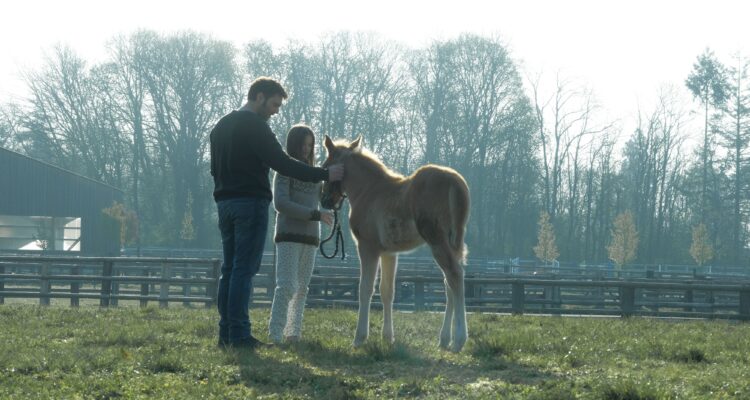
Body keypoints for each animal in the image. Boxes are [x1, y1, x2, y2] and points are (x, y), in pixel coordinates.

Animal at [322, 136, 470, 352]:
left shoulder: (367, 247)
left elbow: (365, 289)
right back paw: (444, 339)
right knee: (448, 281)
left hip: (437, 240)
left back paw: (459, 340)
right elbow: (387, 291)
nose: (325, 201)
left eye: (326, 167)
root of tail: (456, 182)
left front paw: (359, 338)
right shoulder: (389, 253)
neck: (367, 190)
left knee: (455, 275)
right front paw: (388, 337)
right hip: (452, 242)